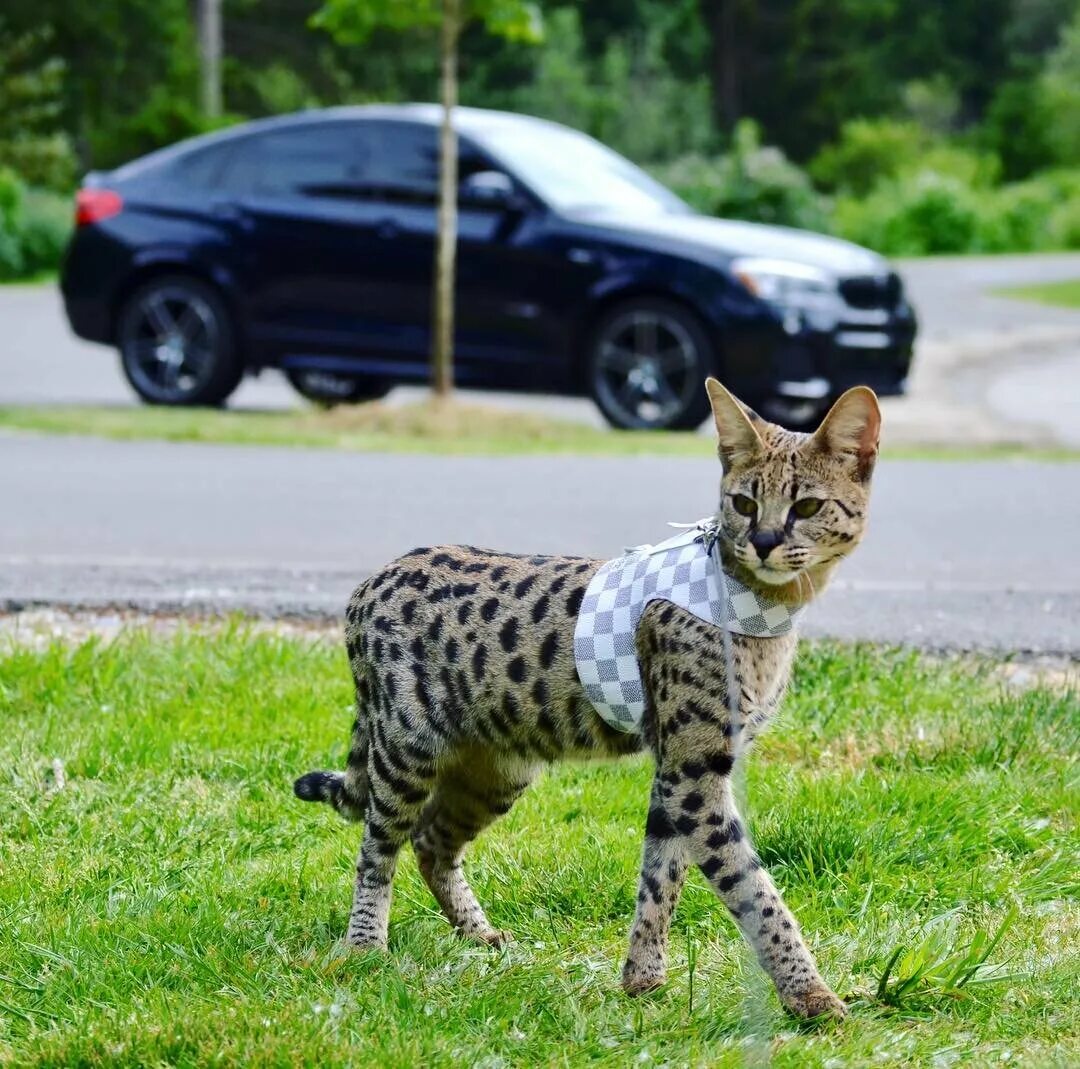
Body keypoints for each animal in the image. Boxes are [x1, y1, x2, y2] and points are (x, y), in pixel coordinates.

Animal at [293, 375, 876, 1019]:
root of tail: (368, 584)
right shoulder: (693, 771)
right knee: (377, 848)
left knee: (431, 841)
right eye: (744, 504)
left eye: (808, 507)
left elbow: (660, 877)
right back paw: (364, 947)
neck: (762, 610)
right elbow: (753, 889)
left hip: (498, 766)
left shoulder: (678, 771)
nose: (766, 540)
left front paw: (643, 982)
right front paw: (810, 995)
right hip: (407, 747)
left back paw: (478, 933)